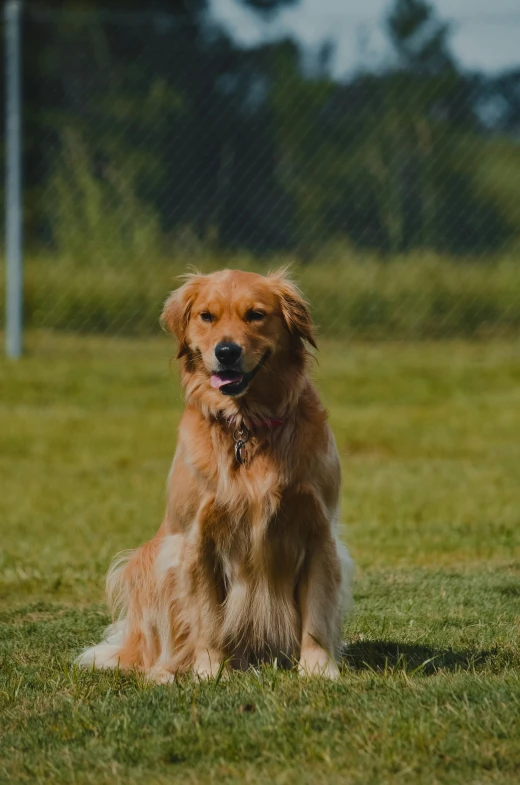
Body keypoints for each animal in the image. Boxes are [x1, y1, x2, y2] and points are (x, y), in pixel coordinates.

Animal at [78, 266, 354, 676]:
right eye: (206, 316)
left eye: (255, 314)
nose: (226, 351)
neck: (245, 425)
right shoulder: (196, 540)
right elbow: (207, 616)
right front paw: (209, 671)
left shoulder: (319, 531)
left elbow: (318, 614)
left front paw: (319, 669)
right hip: (149, 566)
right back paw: (166, 673)